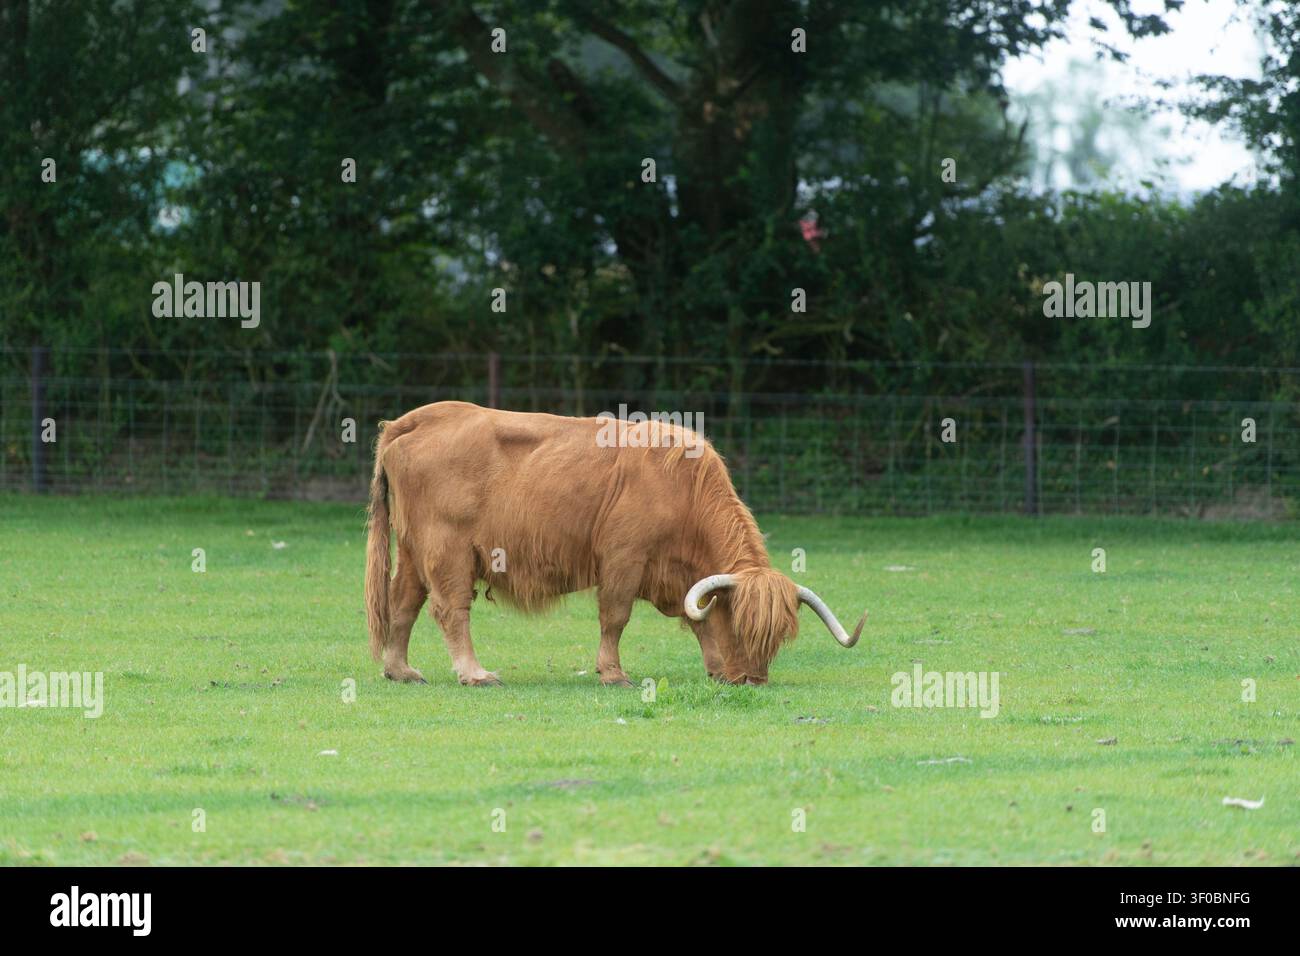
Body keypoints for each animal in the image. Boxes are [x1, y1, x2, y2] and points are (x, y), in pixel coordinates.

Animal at [364, 401, 865, 686]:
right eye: (742, 627)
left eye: (779, 637)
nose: (754, 680)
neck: (683, 489)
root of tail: (414, 420)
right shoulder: (624, 558)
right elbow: (616, 617)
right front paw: (613, 673)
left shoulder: (680, 576)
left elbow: (697, 619)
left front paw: (716, 669)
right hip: (446, 549)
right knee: (450, 608)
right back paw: (474, 673)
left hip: (412, 552)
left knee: (403, 604)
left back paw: (400, 670)